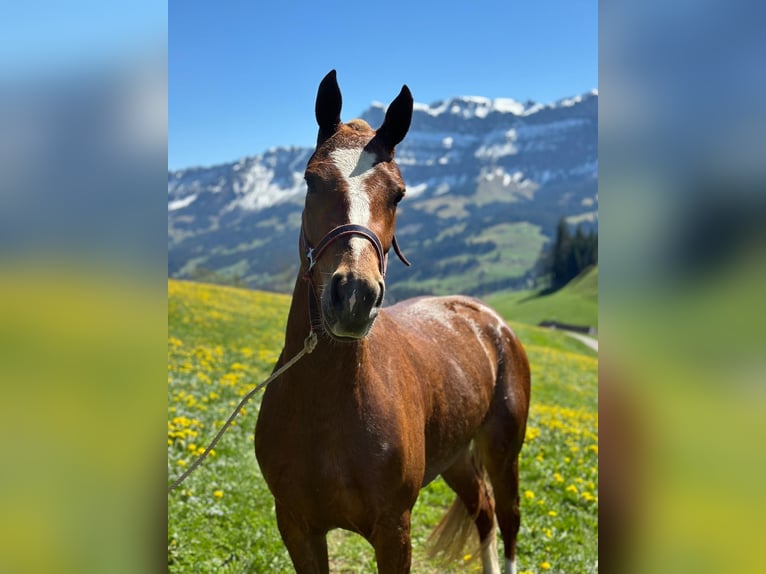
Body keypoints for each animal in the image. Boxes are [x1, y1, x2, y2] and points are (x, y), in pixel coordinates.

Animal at [255, 72, 532, 574]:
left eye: (398, 193)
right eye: (310, 180)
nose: (354, 296)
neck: (327, 409)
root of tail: (491, 322)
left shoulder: (393, 531)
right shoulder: (296, 527)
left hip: (504, 453)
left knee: (507, 521)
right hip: (457, 457)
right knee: (482, 513)